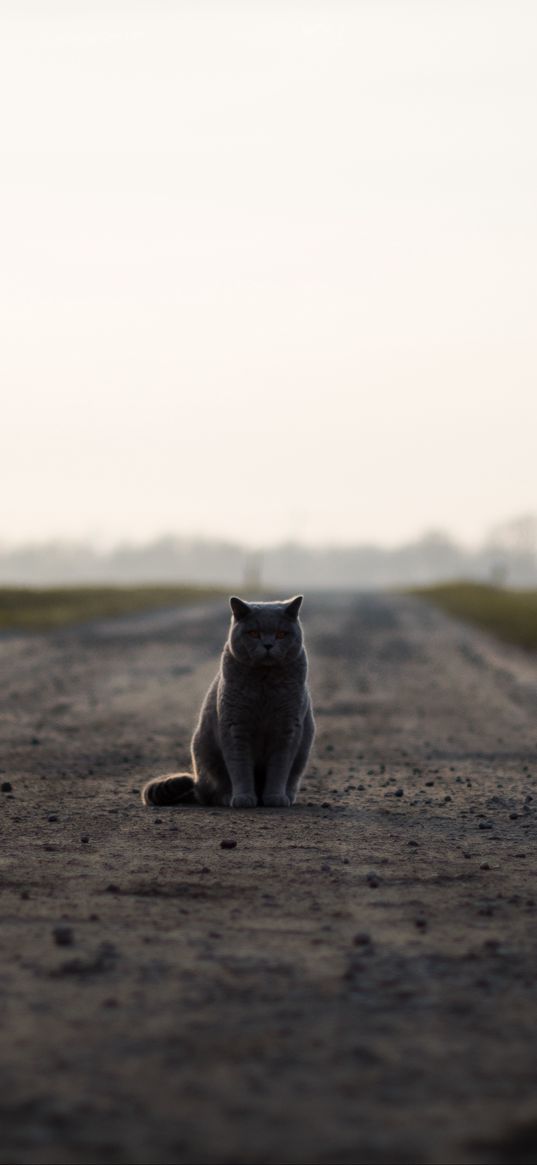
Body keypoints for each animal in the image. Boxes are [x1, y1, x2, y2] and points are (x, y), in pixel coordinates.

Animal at [142, 591, 314, 810]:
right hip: (205, 754)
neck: (264, 685)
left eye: (282, 634)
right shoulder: (235, 726)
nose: (268, 645)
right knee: (211, 792)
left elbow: (279, 768)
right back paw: (227, 797)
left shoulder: (288, 728)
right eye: (253, 633)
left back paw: (286, 796)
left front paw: (275, 798)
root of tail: (196, 783)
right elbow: (240, 767)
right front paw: (243, 798)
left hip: (302, 751)